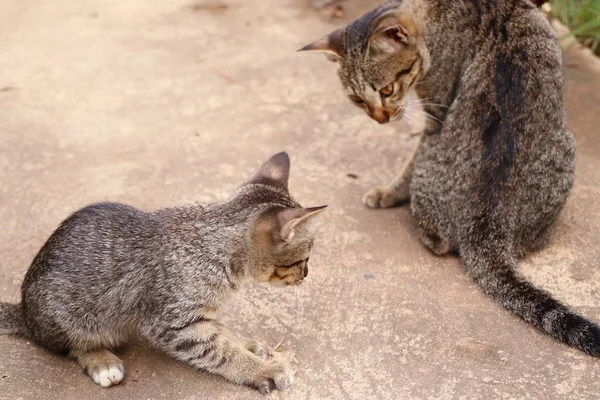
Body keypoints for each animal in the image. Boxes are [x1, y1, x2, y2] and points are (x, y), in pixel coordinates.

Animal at [302, 0, 600, 356]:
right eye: (358, 100)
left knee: (440, 243)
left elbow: (408, 164)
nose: (380, 120)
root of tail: (486, 226)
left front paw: (388, 192)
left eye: (387, 89)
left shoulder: (436, 110)